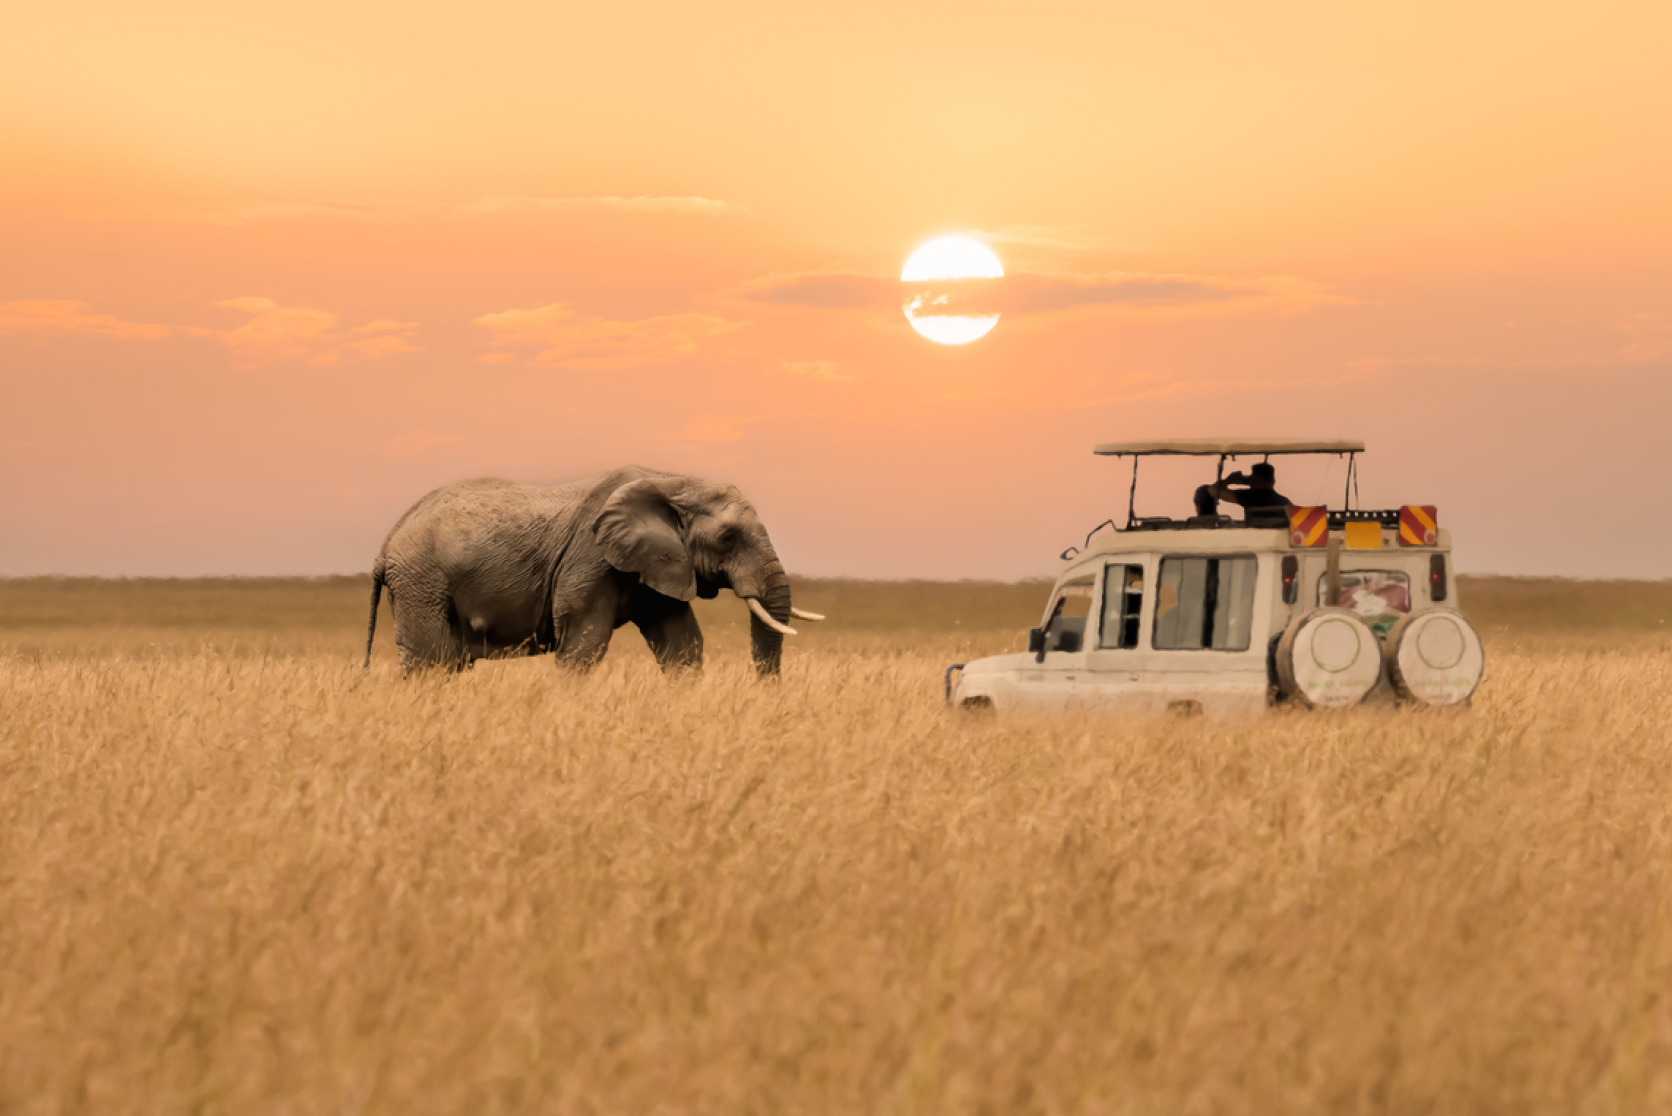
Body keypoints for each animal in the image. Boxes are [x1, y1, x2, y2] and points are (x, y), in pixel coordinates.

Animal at [362, 465, 822, 676]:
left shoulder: (660, 565)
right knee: (431, 662)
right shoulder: (590, 560)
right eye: (728, 538)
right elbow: (584, 644)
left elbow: (682, 644)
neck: (670, 480)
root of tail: (386, 545)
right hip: (422, 580)